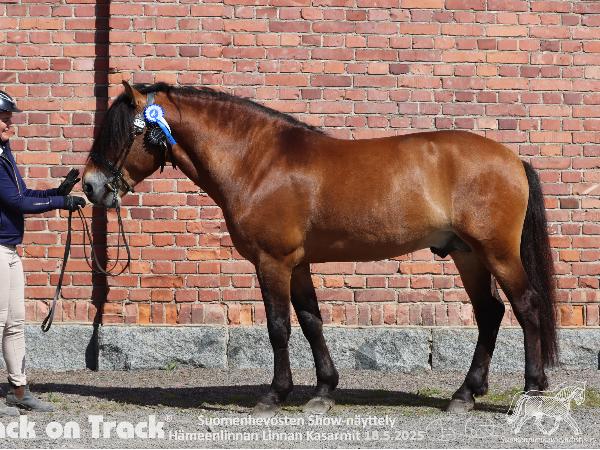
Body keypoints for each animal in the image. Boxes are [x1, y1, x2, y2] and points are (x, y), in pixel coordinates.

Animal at [82, 81, 558, 417]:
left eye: (119, 133)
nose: (89, 186)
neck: (258, 162)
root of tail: (514, 160)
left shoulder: (272, 262)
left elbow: (278, 327)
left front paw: (274, 395)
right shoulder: (298, 264)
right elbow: (311, 321)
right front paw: (324, 390)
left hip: (497, 253)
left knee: (526, 306)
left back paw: (532, 391)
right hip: (467, 254)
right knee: (490, 313)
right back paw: (465, 394)